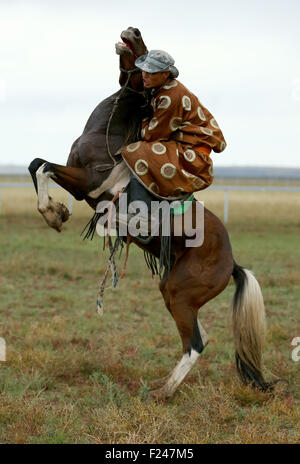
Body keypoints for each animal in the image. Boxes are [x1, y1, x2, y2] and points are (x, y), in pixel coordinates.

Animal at [29, 27, 274, 400]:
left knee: (195, 344)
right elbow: (36, 164)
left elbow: (43, 168)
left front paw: (53, 214)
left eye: (143, 46)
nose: (132, 30)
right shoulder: (81, 185)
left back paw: (162, 393)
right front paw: (56, 210)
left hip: (180, 294)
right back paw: (163, 385)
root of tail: (232, 263)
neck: (107, 133)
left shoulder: (91, 184)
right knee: (200, 337)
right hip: (172, 290)